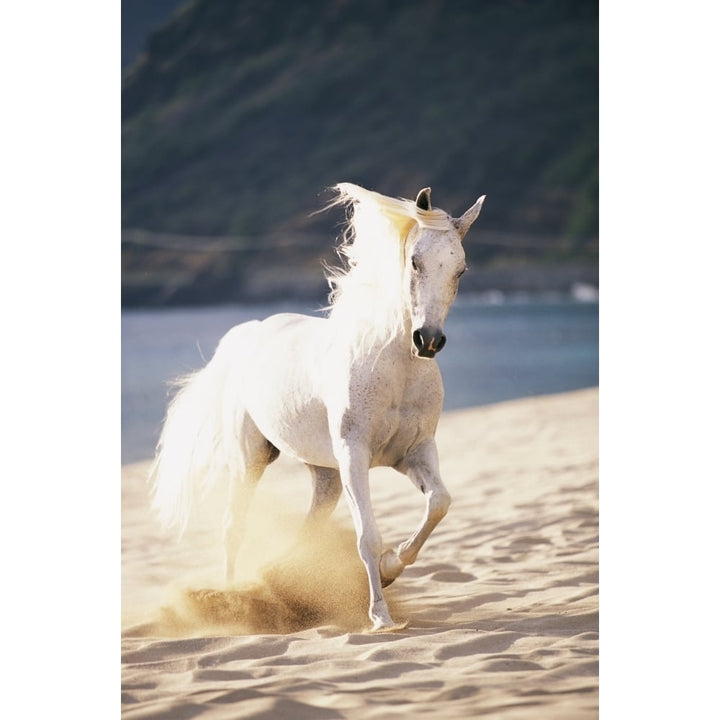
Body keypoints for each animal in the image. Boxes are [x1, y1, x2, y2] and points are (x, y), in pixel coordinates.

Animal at [150, 183, 486, 632]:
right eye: (415, 261)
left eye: (460, 270)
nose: (428, 340)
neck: (392, 368)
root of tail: (247, 335)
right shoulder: (354, 455)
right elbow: (367, 535)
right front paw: (381, 617)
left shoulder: (414, 453)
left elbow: (439, 503)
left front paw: (390, 569)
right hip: (251, 460)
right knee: (233, 527)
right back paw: (232, 597)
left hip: (325, 474)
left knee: (310, 527)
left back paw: (279, 582)